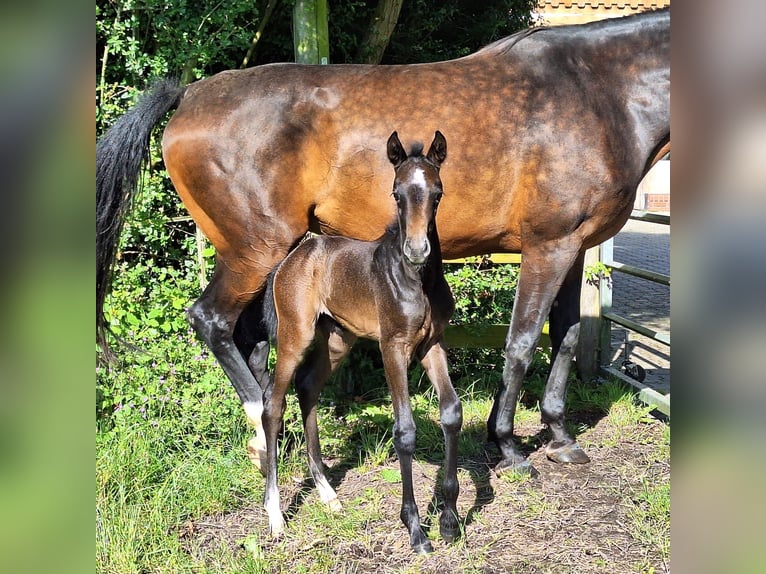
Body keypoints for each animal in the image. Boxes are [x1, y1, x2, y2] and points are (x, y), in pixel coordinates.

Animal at [97, 7, 672, 476]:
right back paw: (262, 431)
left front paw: (560, 437)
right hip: (254, 249)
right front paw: (507, 445)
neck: (596, 91)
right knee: (212, 321)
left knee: (251, 339)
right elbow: (523, 341)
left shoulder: (573, 248)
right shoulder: (548, 246)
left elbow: (567, 336)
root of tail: (190, 95)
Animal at [260, 133, 462, 556]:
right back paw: (275, 517)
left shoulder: (432, 345)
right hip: (296, 335)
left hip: (338, 339)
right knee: (273, 402)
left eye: (437, 193)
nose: (417, 249)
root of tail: (293, 257)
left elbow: (452, 412)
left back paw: (328, 494)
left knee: (308, 387)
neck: (417, 281)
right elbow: (405, 431)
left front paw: (450, 521)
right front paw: (416, 530)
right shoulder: (393, 346)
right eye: (396, 193)